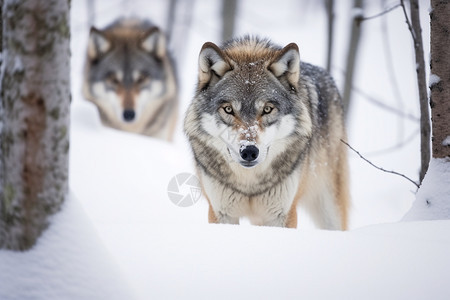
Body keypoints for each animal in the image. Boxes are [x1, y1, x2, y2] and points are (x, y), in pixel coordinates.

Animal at [185, 37, 350, 230]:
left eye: (267, 109)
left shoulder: (281, 215)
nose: (249, 151)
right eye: (228, 109)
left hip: (329, 209)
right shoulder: (221, 213)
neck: (249, 183)